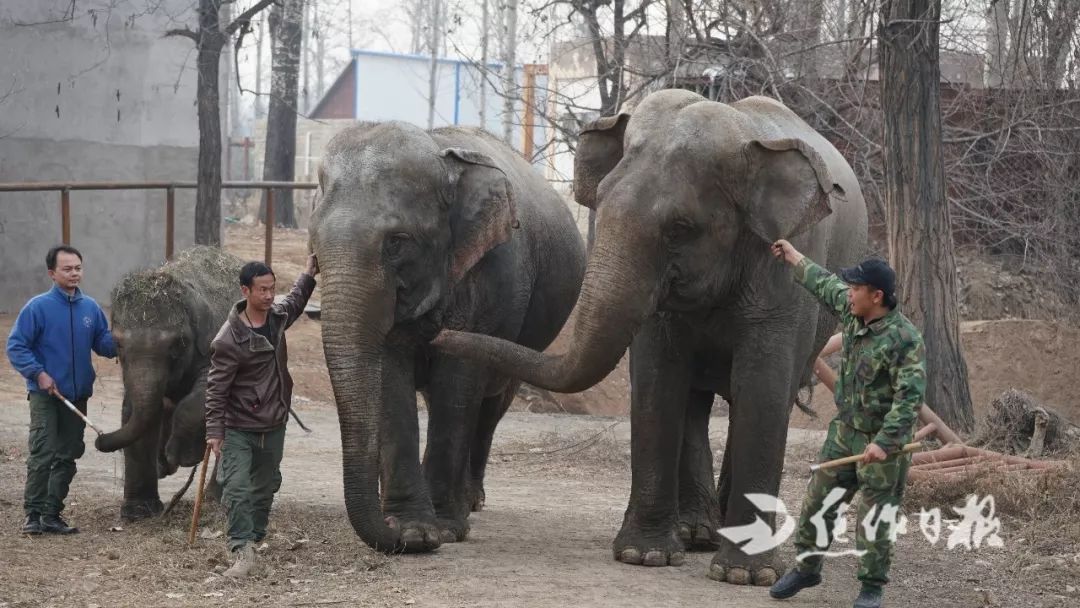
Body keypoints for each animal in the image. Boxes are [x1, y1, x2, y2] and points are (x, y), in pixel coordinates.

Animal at [95, 245, 243, 520]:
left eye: (179, 343)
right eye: (117, 344)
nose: (99, 440)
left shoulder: (213, 342)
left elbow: (207, 392)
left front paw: (182, 456)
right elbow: (134, 413)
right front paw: (137, 513)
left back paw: (214, 499)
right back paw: (164, 468)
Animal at [308, 121, 587, 552]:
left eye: (397, 242)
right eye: (315, 248)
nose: (393, 533)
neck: (442, 153)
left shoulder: (493, 274)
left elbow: (458, 380)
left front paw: (441, 530)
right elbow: (390, 373)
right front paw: (413, 530)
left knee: (491, 405)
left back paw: (470, 503)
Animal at [438, 90, 868, 583]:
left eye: (680, 228)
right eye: (600, 203)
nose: (438, 333)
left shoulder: (784, 276)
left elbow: (762, 388)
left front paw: (745, 576)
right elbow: (659, 380)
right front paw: (644, 557)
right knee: (695, 401)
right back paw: (696, 534)